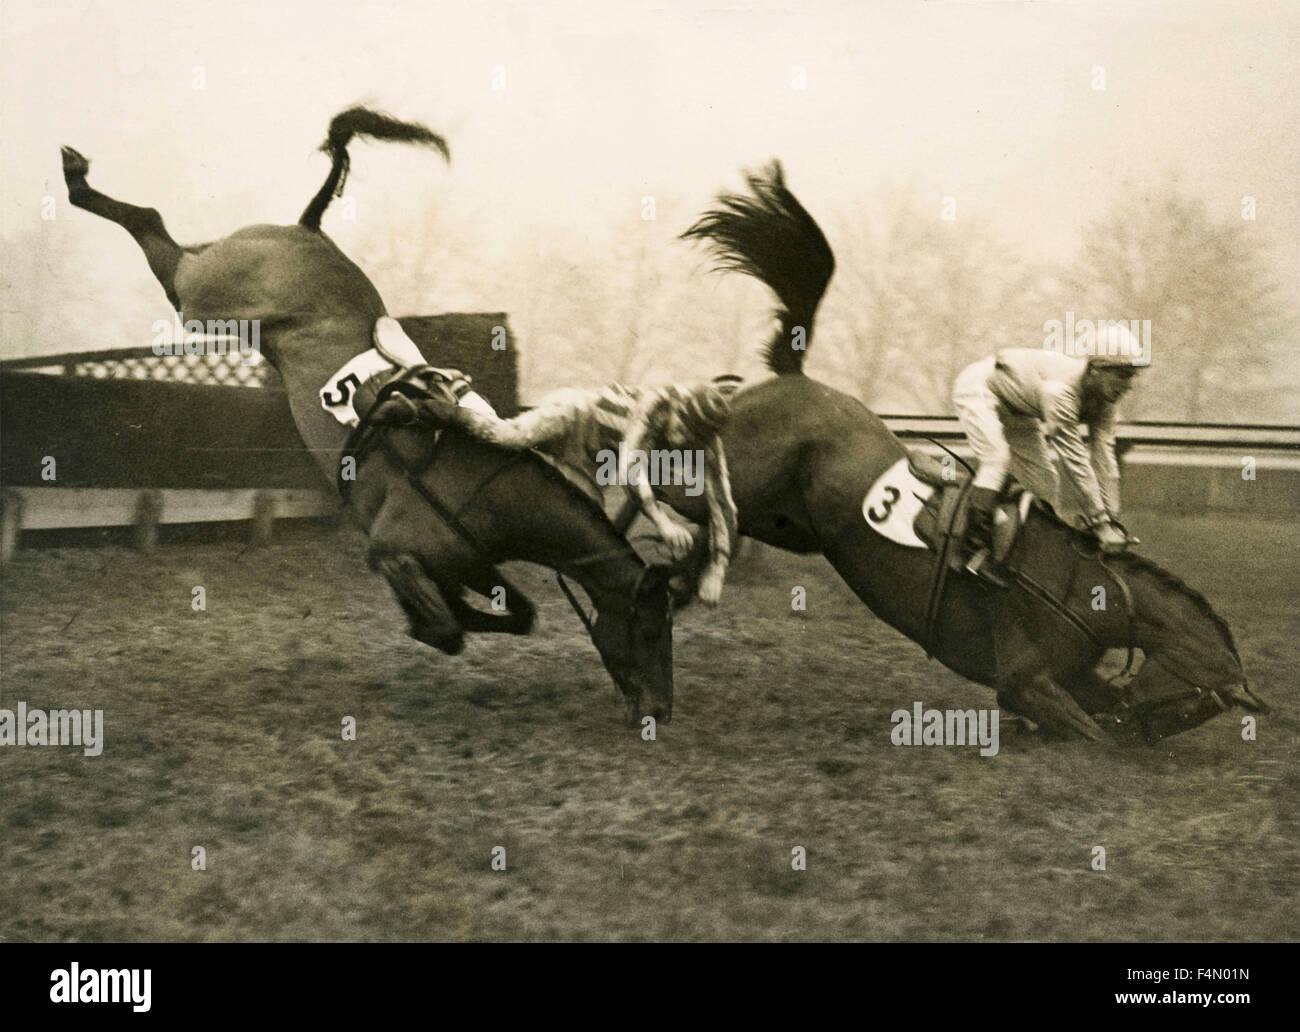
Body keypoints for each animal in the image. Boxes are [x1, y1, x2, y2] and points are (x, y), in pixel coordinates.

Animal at [60, 107, 674, 722]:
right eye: (649, 630)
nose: (661, 711)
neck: (489, 492)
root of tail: (308, 228)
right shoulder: (392, 551)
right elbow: (447, 628)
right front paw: (425, 622)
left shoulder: (469, 563)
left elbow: (515, 614)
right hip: (206, 299)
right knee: (152, 225)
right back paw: (76, 178)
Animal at [660, 161, 1267, 743]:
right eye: (1193, 705)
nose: (1140, 730)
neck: (1094, 593)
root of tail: (795, 374)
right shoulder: (1024, 681)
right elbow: (1089, 734)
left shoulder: (1070, 677)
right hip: (744, 477)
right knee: (674, 485)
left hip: (789, 522)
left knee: (720, 523)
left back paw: (684, 573)